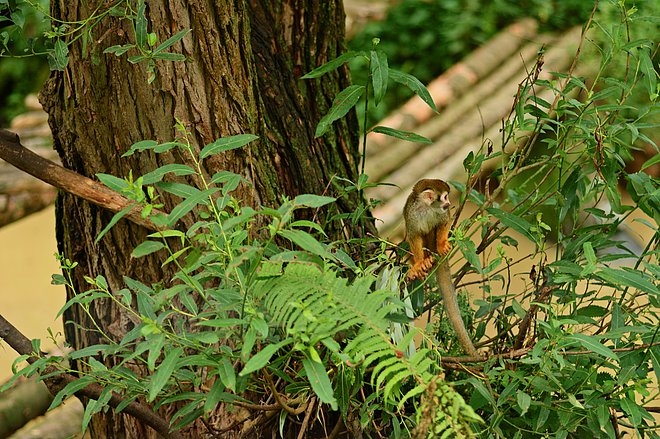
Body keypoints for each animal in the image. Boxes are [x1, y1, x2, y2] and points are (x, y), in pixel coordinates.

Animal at [402, 179, 480, 358]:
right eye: (444, 197)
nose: (449, 203)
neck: (427, 208)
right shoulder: (412, 214)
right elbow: (413, 235)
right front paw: (418, 264)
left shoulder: (441, 214)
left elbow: (444, 222)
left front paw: (443, 243)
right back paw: (425, 261)